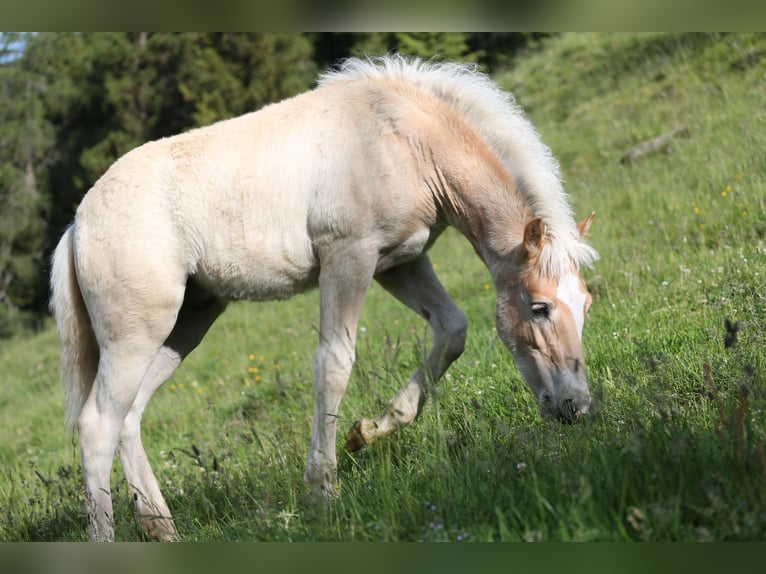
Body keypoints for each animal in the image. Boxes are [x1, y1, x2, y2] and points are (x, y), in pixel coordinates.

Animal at [49, 54, 598, 542]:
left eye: (586, 305)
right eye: (539, 307)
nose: (575, 408)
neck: (400, 139)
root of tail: (77, 224)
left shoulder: (400, 262)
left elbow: (452, 329)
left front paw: (371, 430)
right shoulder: (348, 257)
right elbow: (334, 362)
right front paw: (323, 489)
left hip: (186, 323)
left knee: (130, 416)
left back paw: (163, 528)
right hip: (136, 334)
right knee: (97, 424)